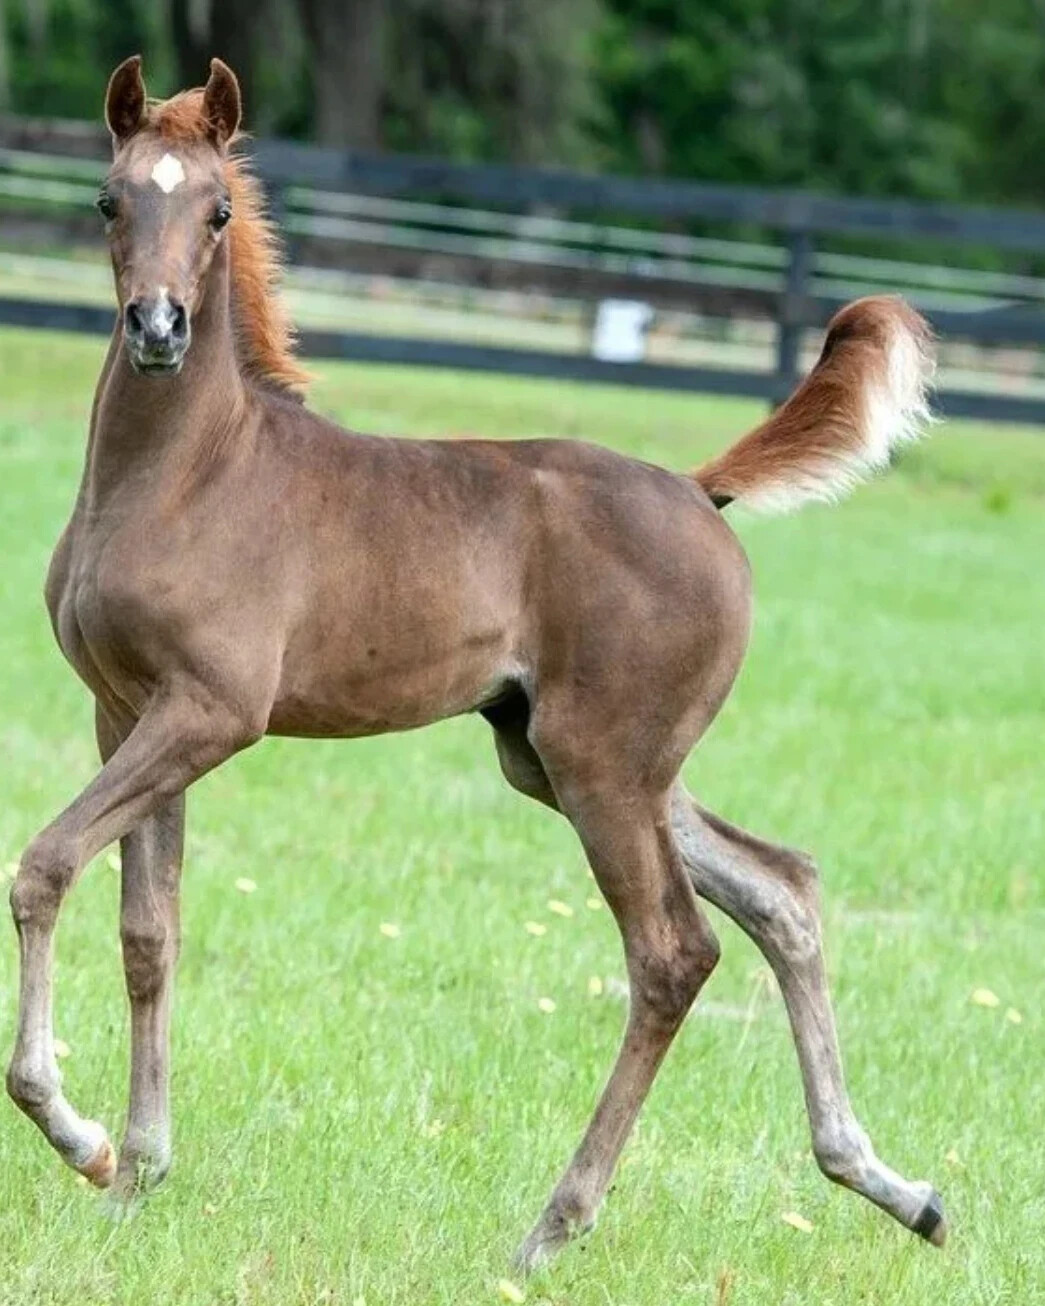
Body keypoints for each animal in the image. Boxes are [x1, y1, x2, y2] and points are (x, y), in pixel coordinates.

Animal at [8, 56, 950, 1269]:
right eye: (108, 202)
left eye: (215, 210)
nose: (159, 327)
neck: (185, 474)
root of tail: (700, 492)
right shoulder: (124, 712)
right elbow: (147, 931)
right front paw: (134, 1174)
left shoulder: (211, 714)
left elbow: (44, 865)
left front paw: (73, 1133)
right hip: (571, 759)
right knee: (781, 889)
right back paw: (891, 1185)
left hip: (601, 769)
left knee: (673, 953)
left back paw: (553, 1227)